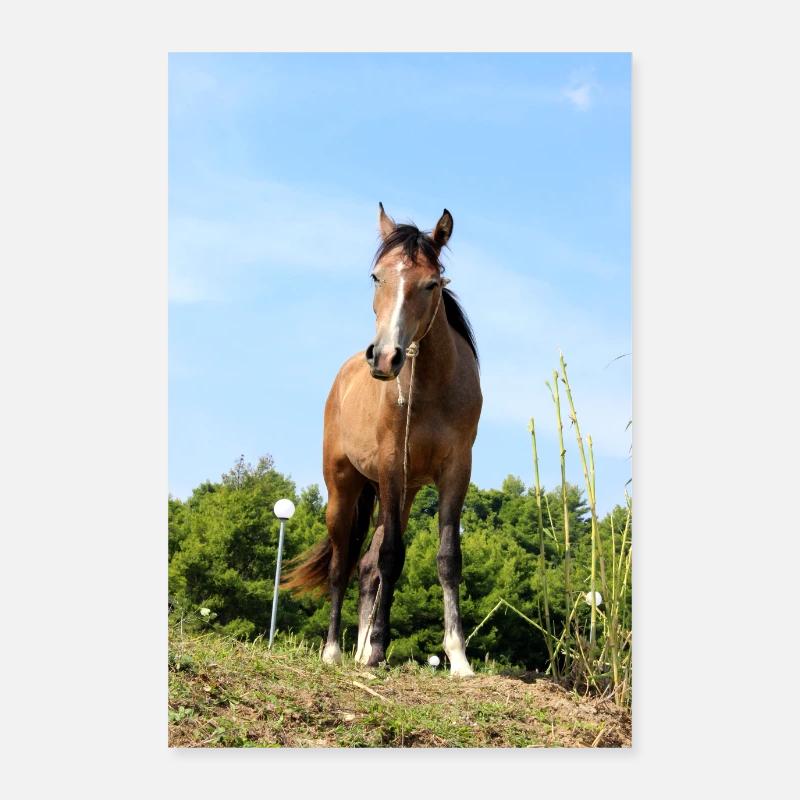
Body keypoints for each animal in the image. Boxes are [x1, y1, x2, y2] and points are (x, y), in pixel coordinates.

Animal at [283, 204, 481, 677]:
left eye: (431, 283)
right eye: (377, 276)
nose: (385, 357)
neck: (430, 387)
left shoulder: (455, 471)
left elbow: (447, 558)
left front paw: (458, 656)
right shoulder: (392, 467)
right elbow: (392, 558)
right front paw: (376, 651)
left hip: (402, 493)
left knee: (366, 565)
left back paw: (357, 648)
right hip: (345, 488)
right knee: (343, 566)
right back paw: (336, 651)